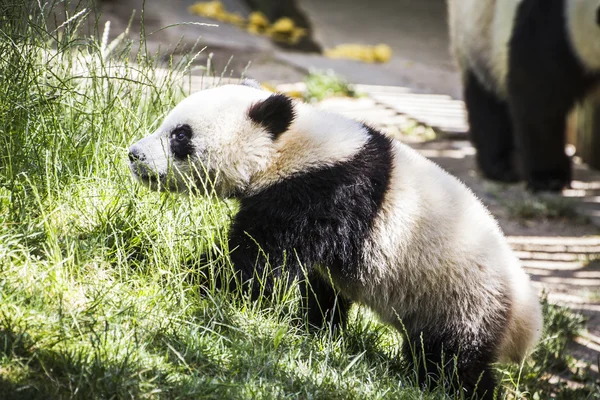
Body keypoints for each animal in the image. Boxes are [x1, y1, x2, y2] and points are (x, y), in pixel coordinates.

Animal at [129, 82, 540, 400]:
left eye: (180, 135)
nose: (134, 155)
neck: (287, 146)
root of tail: (526, 320)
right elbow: (315, 281)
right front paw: (313, 329)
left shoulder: (325, 189)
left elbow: (260, 258)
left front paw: (196, 280)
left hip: (466, 299)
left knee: (453, 361)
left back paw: (450, 388)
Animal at [448, 0, 600, 192]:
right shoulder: (556, 28)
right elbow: (539, 101)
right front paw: (548, 177)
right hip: (477, 36)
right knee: (488, 102)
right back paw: (503, 166)